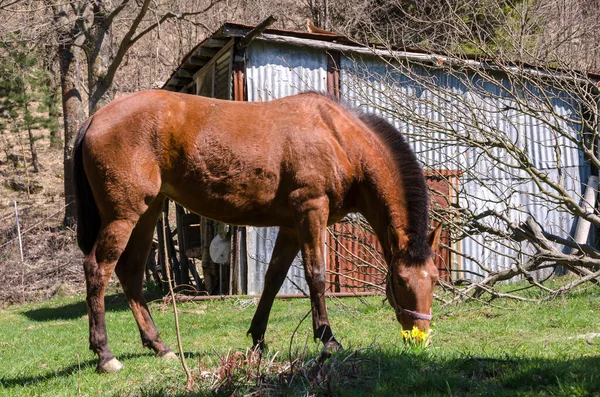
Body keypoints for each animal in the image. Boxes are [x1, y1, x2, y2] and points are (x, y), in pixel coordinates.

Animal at [74, 89, 440, 372]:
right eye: (399, 281)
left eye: (434, 279)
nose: (420, 338)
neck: (337, 136)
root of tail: (95, 118)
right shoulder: (311, 210)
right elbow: (316, 275)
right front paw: (328, 339)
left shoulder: (291, 225)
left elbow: (273, 280)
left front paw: (258, 339)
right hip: (124, 214)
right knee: (98, 269)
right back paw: (105, 355)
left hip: (147, 212)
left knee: (131, 271)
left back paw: (160, 347)